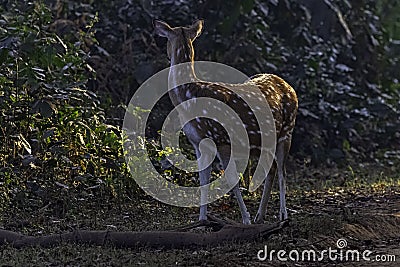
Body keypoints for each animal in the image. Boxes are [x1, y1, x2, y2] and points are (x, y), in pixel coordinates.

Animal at [153, 20, 296, 224]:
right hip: (265, 141)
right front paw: (202, 220)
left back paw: (282, 215)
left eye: (166, 39)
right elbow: (203, 179)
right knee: (271, 168)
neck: (189, 96)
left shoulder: (221, 139)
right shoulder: (199, 142)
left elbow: (231, 178)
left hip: (287, 131)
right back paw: (261, 216)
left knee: (283, 172)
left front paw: (246, 219)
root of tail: (289, 86)